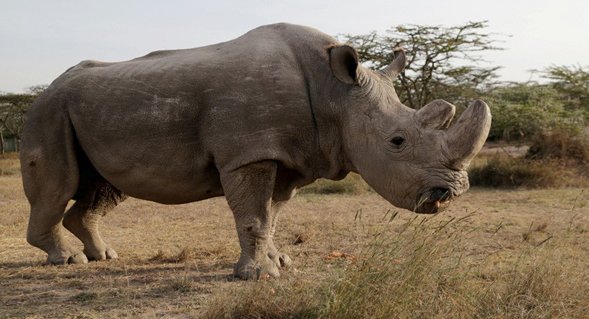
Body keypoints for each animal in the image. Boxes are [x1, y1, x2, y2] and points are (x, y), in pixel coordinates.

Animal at [20, 23, 490, 280]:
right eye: (397, 141)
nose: (450, 194)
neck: (335, 93)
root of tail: (45, 89)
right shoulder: (249, 153)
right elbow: (253, 215)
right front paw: (258, 276)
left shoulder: (289, 156)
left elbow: (272, 214)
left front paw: (279, 260)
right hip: (48, 112)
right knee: (58, 183)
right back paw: (68, 261)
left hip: (88, 112)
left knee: (103, 187)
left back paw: (102, 256)